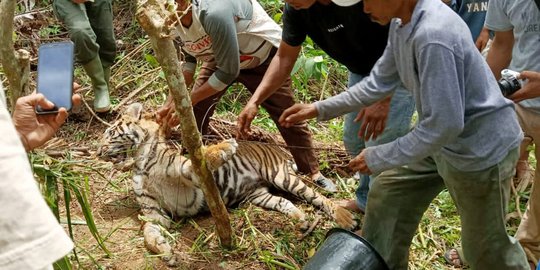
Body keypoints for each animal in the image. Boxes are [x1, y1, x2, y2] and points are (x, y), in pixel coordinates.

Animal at [97, 103, 356, 266]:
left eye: (110, 133)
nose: (97, 151)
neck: (140, 163)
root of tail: (278, 149)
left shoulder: (188, 174)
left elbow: (199, 158)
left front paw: (225, 147)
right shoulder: (154, 214)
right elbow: (149, 235)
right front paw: (166, 251)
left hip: (281, 176)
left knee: (317, 196)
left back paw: (345, 218)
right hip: (258, 194)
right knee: (283, 202)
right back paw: (301, 220)